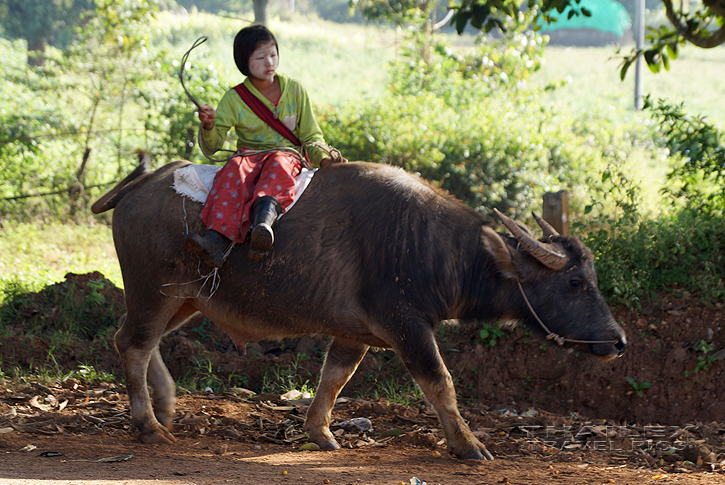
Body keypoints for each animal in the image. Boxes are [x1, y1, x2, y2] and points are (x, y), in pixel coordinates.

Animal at [93, 157, 624, 460]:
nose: (618, 341)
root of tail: (142, 183)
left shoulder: (354, 335)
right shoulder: (408, 327)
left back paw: (166, 406)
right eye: (575, 282)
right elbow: (440, 383)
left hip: (187, 299)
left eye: (592, 277)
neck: (435, 248)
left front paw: (320, 433)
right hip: (155, 291)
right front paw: (467, 445)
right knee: (134, 344)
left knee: (137, 340)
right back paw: (148, 426)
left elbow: (334, 379)